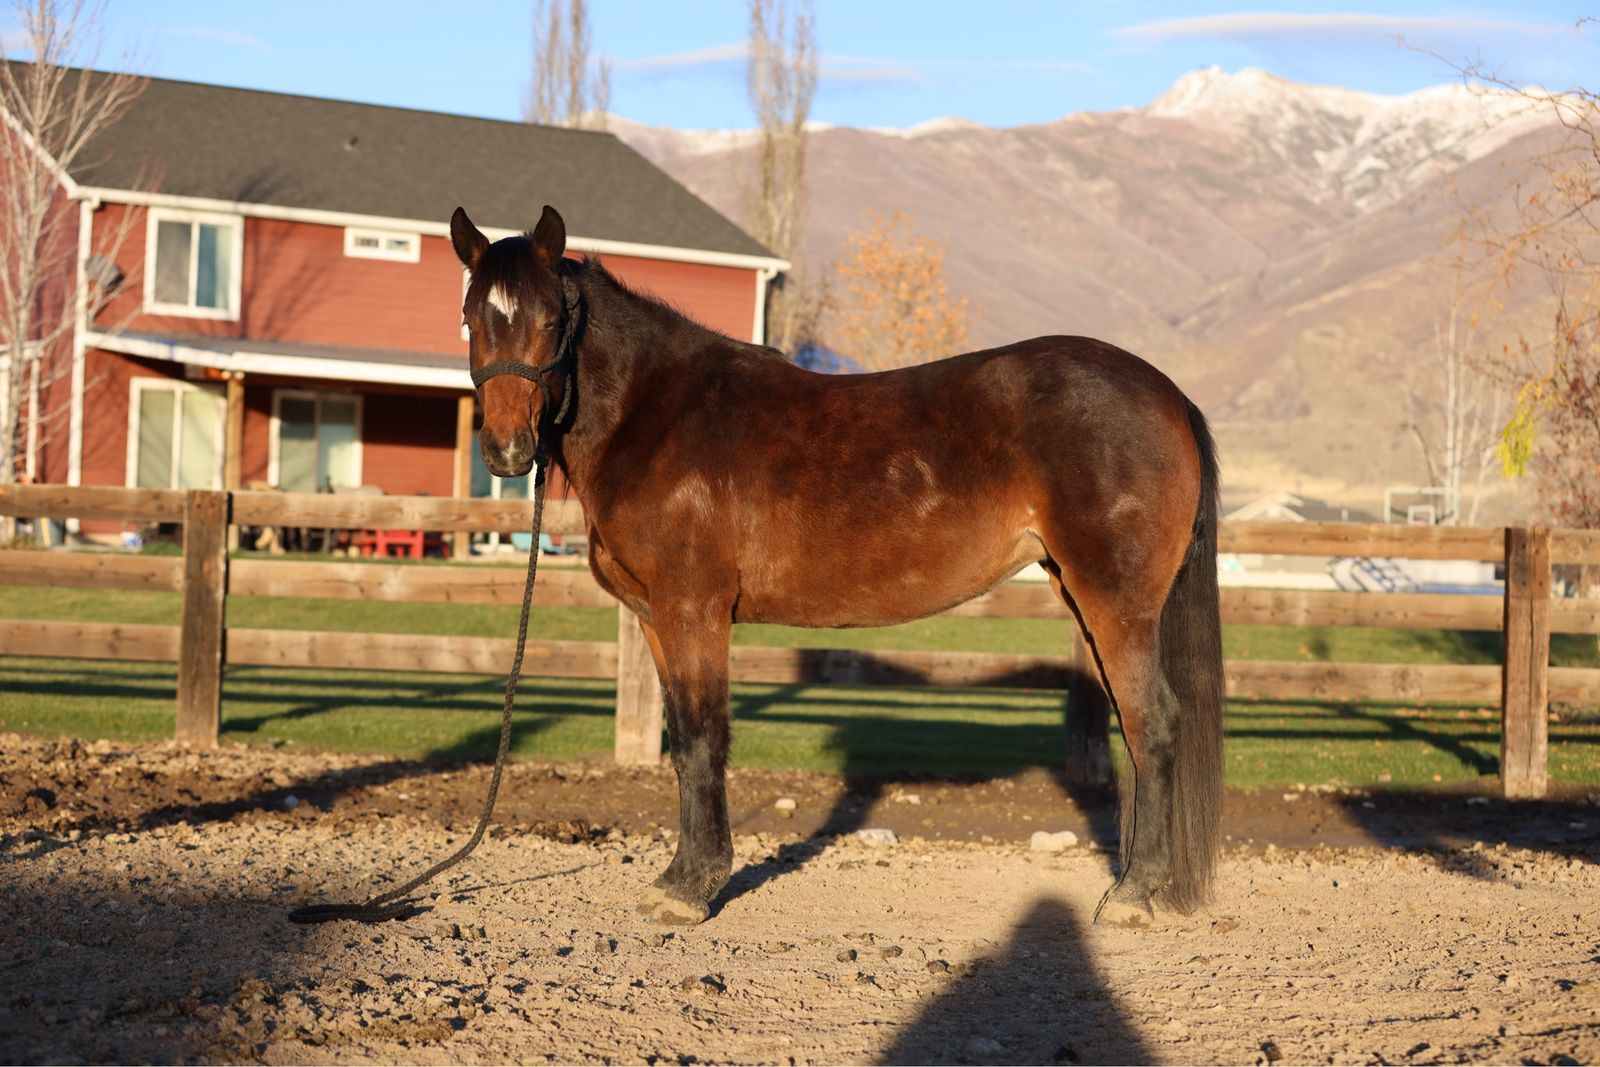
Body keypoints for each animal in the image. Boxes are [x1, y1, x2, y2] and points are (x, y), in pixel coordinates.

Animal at [450, 204, 1224, 927]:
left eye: (553, 319)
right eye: (469, 319)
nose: (508, 450)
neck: (657, 415)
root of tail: (1167, 395)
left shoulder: (693, 610)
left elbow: (703, 737)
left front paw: (692, 888)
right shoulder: (654, 619)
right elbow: (681, 740)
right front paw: (680, 876)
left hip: (1115, 601)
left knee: (1153, 723)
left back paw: (1134, 895)